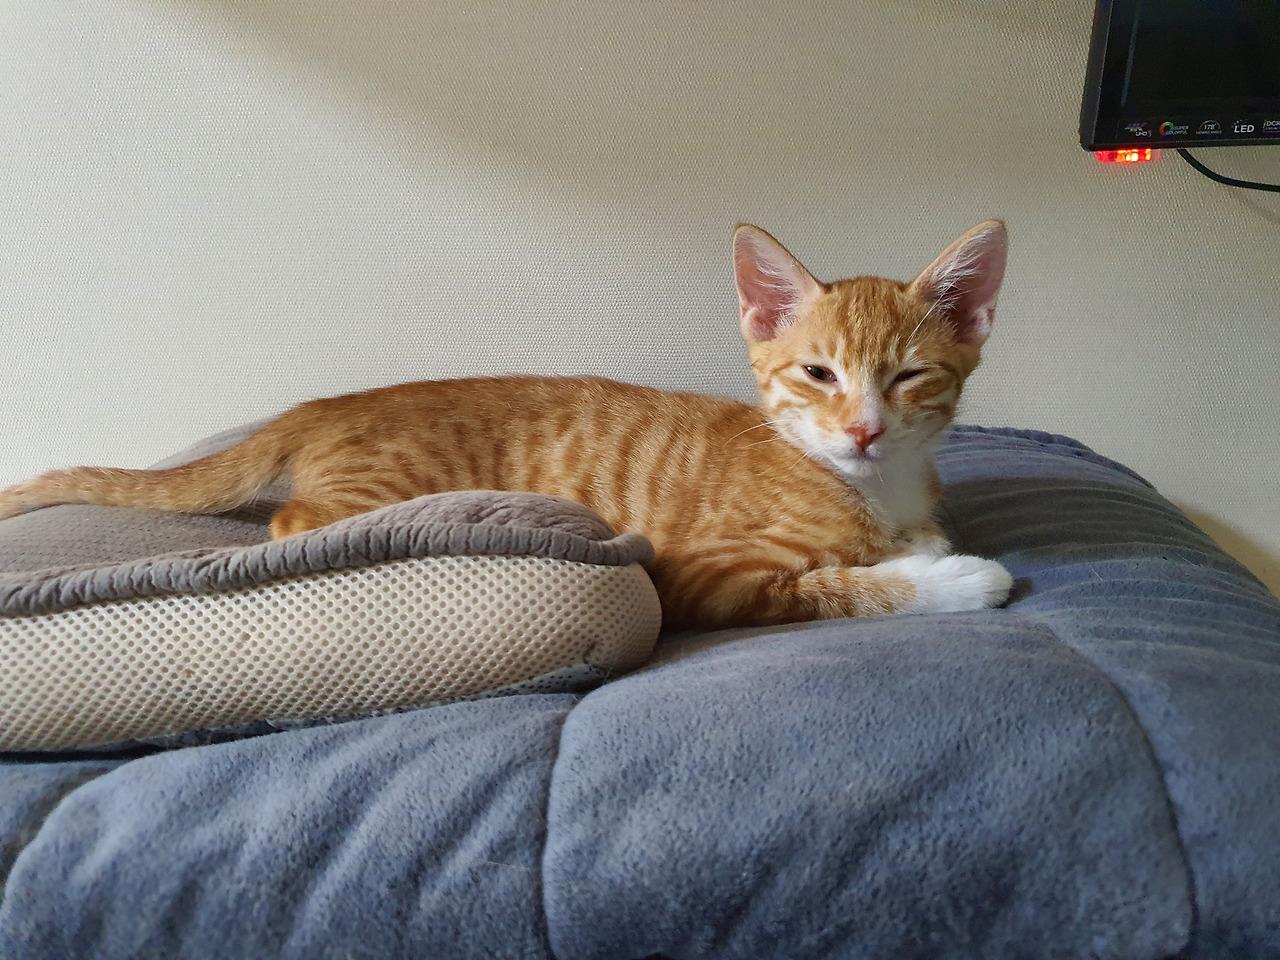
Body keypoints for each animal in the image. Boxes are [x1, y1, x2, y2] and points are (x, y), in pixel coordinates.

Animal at [0, 221, 1014, 629]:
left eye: (908, 376)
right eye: (817, 374)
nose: (864, 431)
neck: (869, 486)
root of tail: (330, 403)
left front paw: (926, 545)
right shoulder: (707, 575)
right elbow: (836, 587)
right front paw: (956, 579)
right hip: (376, 488)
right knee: (293, 523)